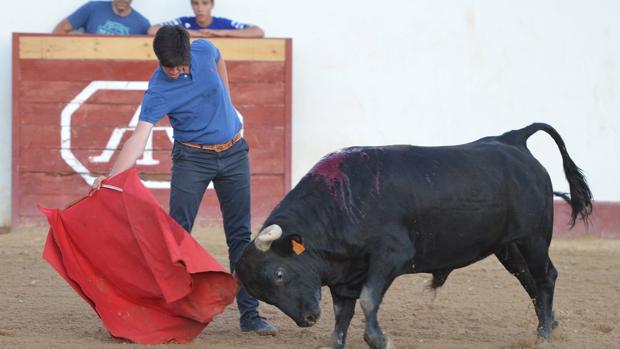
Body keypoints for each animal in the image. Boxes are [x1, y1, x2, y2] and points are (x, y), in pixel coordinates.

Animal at [236, 123, 592, 348]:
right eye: (263, 294)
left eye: (279, 274)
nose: (308, 318)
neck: (341, 202)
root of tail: (513, 140)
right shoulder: (345, 276)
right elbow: (342, 317)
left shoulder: (391, 256)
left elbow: (368, 299)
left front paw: (380, 339)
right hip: (508, 248)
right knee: (529, 281)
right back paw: (548, 325)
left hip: (534, 238)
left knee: (545, 277)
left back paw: (544, 335)